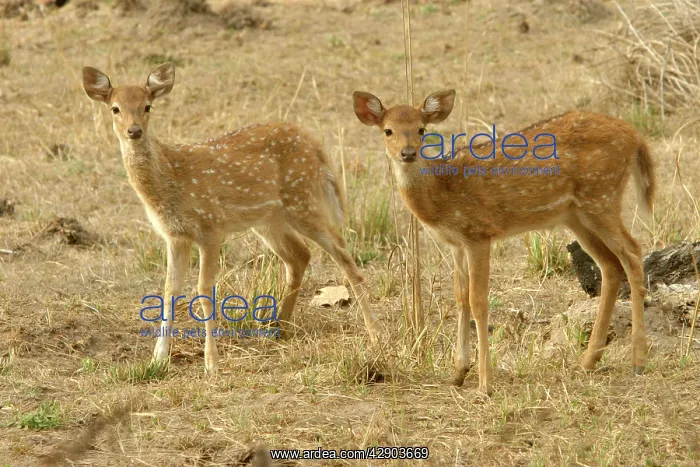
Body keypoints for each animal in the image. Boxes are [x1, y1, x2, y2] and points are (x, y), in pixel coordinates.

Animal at [81, 62, 383, 372]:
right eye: (115, 108)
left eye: (147, 106)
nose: (134, 130)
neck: (170, 178)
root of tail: (314, 144)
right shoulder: (175, 236)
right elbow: (168, 291)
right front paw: (158, 358)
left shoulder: (210, 226)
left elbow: (203, 289)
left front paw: (211, 363)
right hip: (270, 219)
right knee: (300, 255)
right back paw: (279, 327)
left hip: (303, 201)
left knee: (344, 257)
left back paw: (375, 335)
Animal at [352, 89, 656, 395]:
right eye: (388, 130)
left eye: (421, 129)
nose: (408, 153)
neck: (442, 195)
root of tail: (636, 135)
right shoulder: (456, 244)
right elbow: (460, 298)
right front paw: (458, 373)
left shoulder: (479, 233)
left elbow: (478, 301)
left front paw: (484, 383)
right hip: (577, 214)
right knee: (611, 265)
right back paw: (588, 360)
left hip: (602, 195)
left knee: (633, 252)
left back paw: (638, 361)